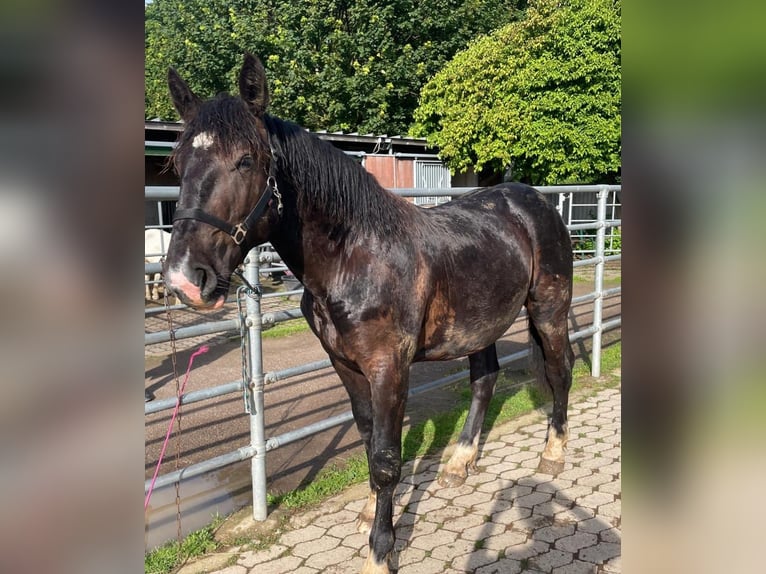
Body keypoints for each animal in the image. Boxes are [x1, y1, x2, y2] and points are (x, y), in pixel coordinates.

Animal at [165, 54, 572, 574]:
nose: (184, 279)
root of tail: (535, 201)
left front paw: (380, 552)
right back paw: (459, 462)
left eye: (246, 160)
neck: (357, 255)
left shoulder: (388, 367)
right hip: (477, 326)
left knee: (559, 372)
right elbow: (367, 440)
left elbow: (385, 460)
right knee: (484, 378)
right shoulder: (346, 365)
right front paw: (369, 516)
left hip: (548, 309)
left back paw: (553, 454)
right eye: (179, 164)